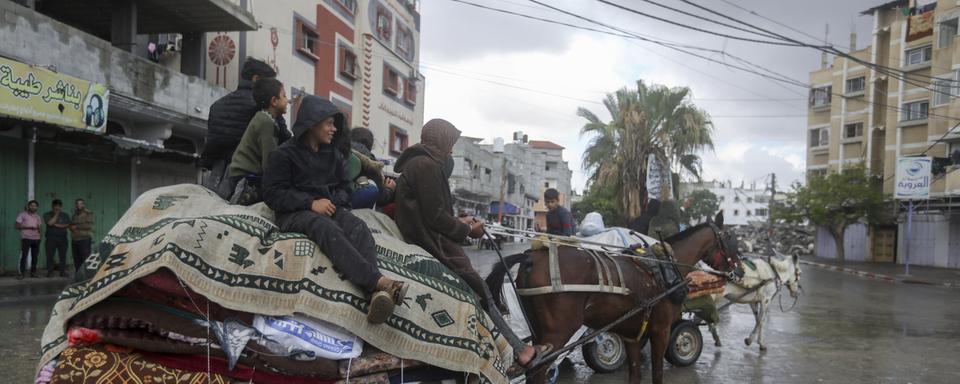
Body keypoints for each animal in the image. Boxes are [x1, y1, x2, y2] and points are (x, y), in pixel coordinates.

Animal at [488, 212, 744, 382]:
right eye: (731, 239)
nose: (740, 271)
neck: (667, 266)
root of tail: (530, 258)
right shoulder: (660, 330)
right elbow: (658, 374)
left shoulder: (632, 335)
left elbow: (635, 374)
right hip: (558, 333)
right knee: (537, 371)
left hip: (538, 332)